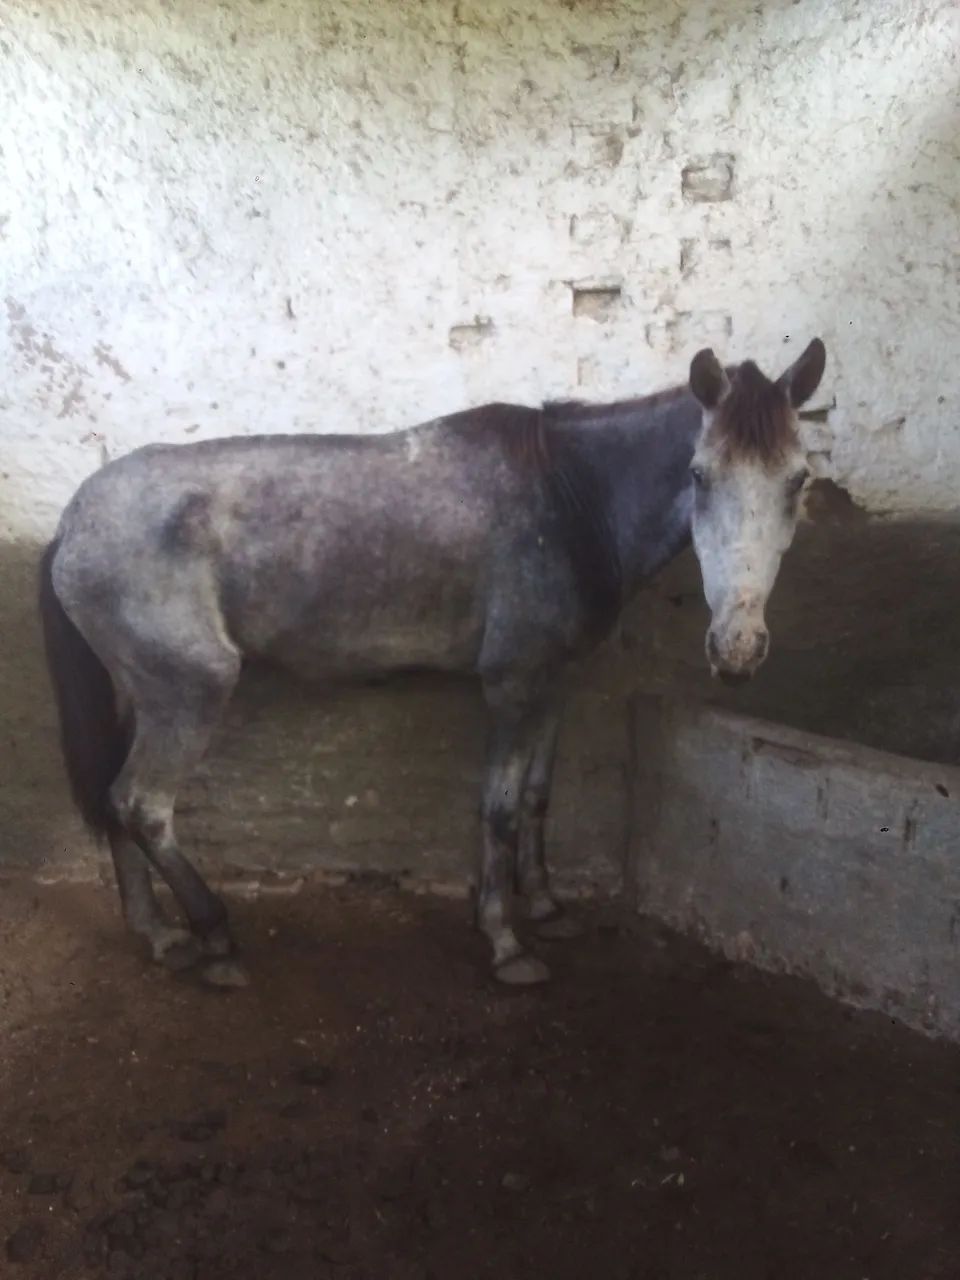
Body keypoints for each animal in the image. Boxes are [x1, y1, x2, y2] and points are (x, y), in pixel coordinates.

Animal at [38, 340, 826, 987]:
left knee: (113, 800)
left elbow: (538, 794)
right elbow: (499, 807)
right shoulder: (510, 684)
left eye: (798, 480)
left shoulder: (555, 681)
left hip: (138, 695)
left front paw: (545, 905)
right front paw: (505, 940)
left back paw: (158, 934)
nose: (737, 648)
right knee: (142, 805)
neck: (569, 498)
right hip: (191, 691)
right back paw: (214, 938)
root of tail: (73, 522)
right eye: (699, 475)